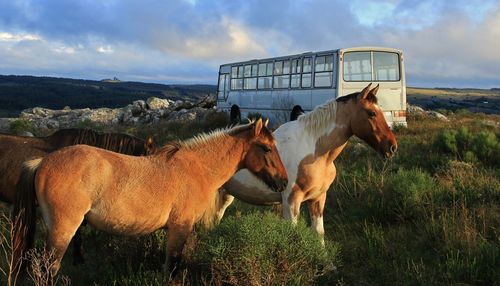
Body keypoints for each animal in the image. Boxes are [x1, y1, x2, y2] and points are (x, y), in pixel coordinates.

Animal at [13, 118, 288, 274]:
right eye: (266, 148)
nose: (284, 181)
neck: (196, 169)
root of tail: (42, 162)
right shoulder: (179, 229)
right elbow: (172, 268)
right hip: (63, 230)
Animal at [217, 83, 396, 244]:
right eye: (371, 113)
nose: (392, 146)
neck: (316, 152)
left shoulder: (318, 198)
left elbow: (318, 232)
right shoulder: (291, 202)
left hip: (225, 195)